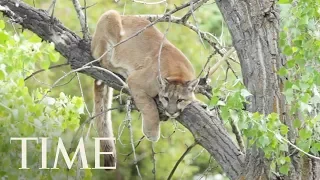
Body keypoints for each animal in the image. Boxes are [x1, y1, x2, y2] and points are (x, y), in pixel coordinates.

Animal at [91, 10, 199, 167]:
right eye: (166, 98)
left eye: (180, 100)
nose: (171, 112)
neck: (178, 73)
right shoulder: (137, 81)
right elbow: (149, 107)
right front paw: (152, 132)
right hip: (110, 16)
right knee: (103, 60)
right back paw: (121, 69)